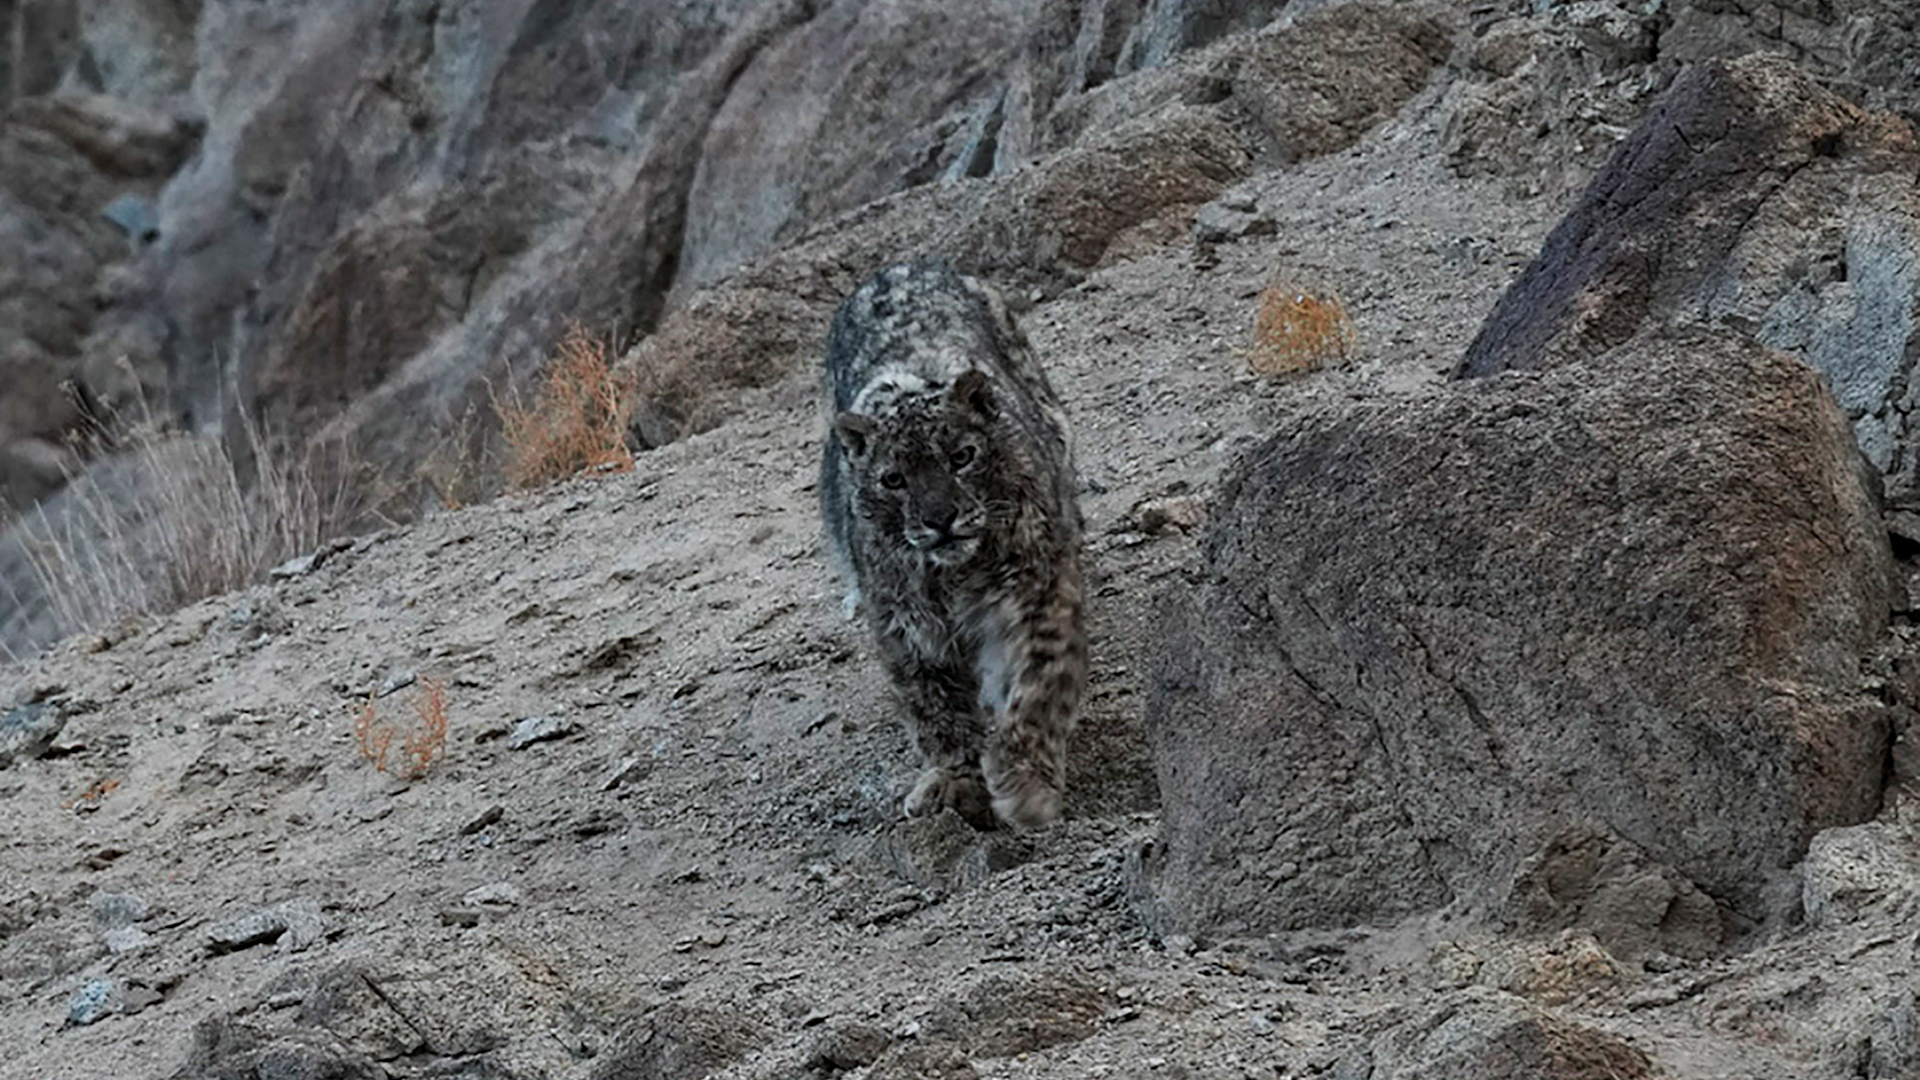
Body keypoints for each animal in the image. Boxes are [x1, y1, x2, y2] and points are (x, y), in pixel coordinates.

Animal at [821, 259, 1090, 822]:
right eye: (893, 479)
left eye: (962, 456)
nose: (940, 518)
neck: (953, 581)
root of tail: (897, 265)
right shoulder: (906, 626)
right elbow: (935, 705)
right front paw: (955, 778)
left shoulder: (1036, 589)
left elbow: (1039, 677)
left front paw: (1023, 782)